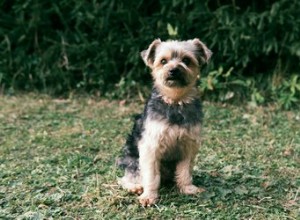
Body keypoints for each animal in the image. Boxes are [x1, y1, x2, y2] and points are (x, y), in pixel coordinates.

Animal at [116, 38, 212, 206]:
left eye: (186, 60)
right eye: (163, 61)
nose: (174, 70)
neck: (175, 100)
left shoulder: (189, 145)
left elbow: (185, 171)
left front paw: (188, 188)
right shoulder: (151, 146)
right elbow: (151, 176)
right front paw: (149, 196)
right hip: (133, 160)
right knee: (126, 177)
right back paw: (134, 187)